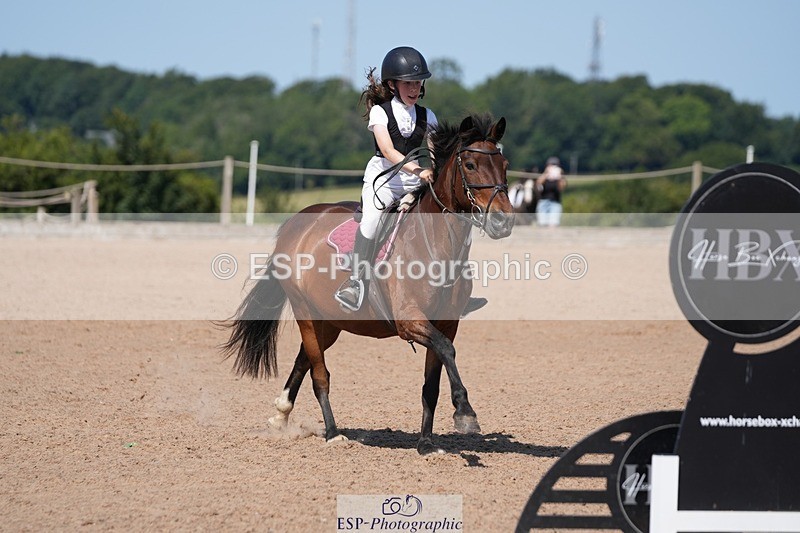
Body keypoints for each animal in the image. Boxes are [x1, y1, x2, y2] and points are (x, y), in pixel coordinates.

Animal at [221, 114, 514, 455]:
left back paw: (280, 417)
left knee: (303, 359)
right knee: (319, 374)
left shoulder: (446, 322)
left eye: (504, 164)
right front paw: (465, 414)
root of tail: (298, 221)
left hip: (329, 322)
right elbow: (447, 349)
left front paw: (427, 444)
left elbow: (433, 381)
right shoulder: (409, 321)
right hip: (306, 313)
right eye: (469, 164)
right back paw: (332, 433)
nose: (503, 221)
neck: (437, 243)